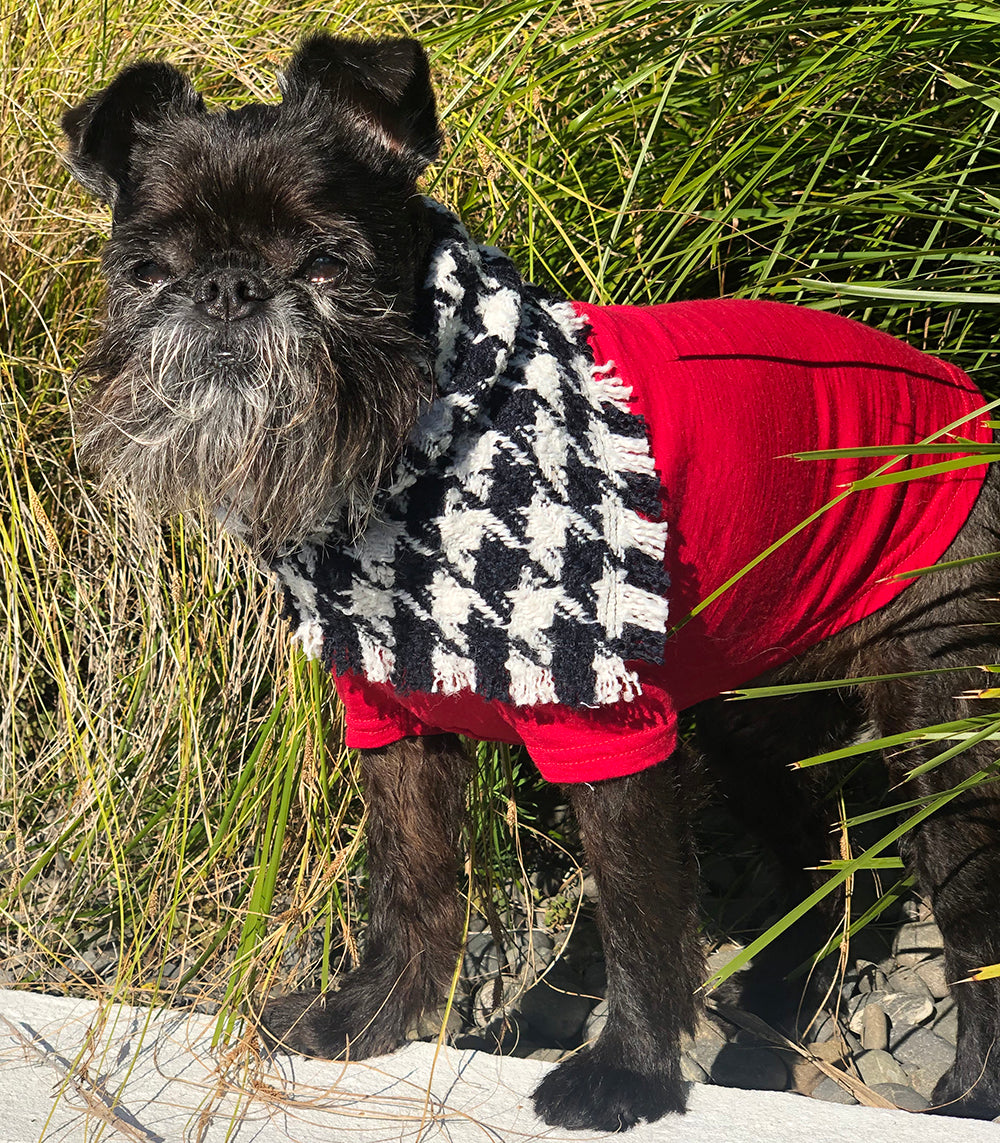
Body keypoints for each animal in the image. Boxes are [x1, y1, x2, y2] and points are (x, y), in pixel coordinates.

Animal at [60, 35, 1000, 1133]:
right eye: (145, 270)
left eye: (328, 262)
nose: (226, 290)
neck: (414, 457)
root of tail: (965, 398)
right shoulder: (393, 724)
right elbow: (413, 882)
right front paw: (373, 1015)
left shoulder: (607, 732)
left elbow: (638, 911)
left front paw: (630, 1070)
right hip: (748, 708)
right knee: (810, 838)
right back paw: (776, 996)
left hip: (936, 722)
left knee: (971, 906)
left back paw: (972, 1084)